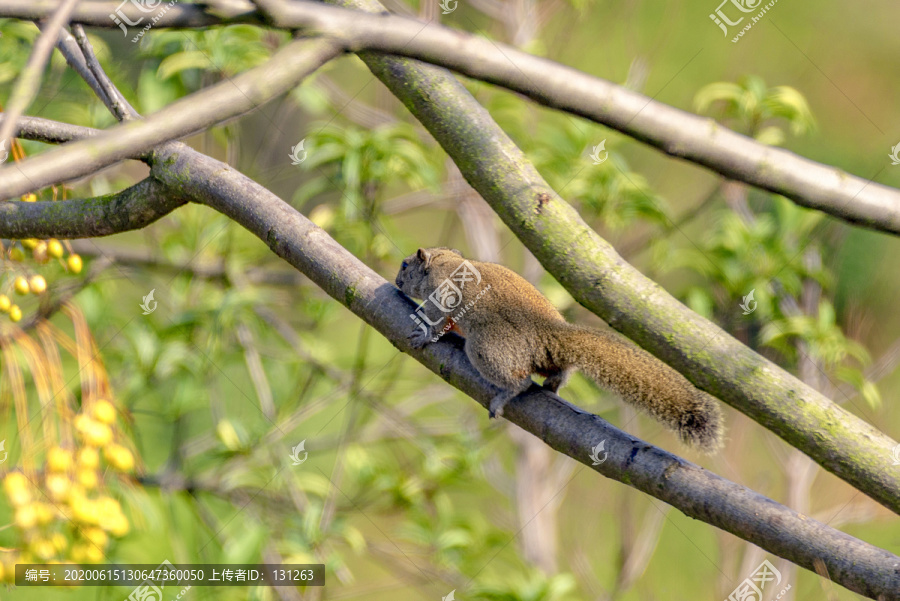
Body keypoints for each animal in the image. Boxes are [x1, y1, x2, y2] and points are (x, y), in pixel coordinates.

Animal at [394, 247, 724, 450]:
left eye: (405, 265)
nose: (397, 281)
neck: (443, 261)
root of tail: (548, 332)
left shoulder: (443, 292)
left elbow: (437, 318)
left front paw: (424, 335)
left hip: (487, 348)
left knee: (519, 381)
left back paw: (504, 396)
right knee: (556, 372)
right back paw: (552, 384)